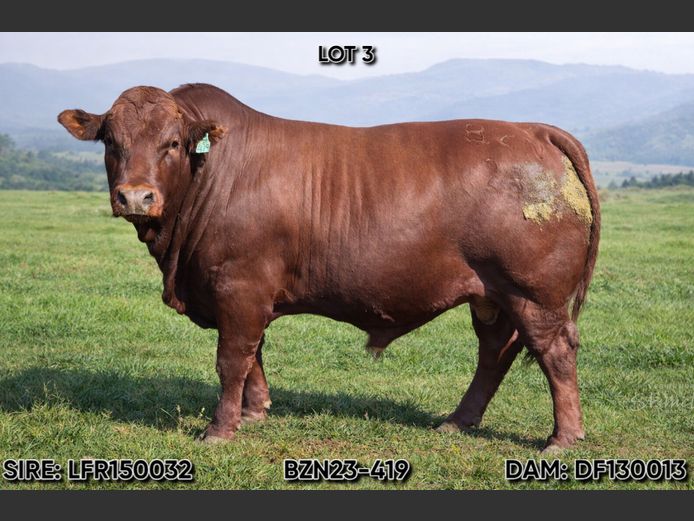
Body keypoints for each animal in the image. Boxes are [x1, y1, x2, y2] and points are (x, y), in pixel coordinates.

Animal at [58, 83, 600, 453]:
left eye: (172, 143)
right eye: (111, 142)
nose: (135, 197)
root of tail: (531, 129)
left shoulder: (238, 285)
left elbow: (231, 358)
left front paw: (220, 428)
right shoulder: (249, 293)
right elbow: (254, 354)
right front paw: (255, 412)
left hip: (535, 293)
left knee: (555, 352)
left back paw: (562, 438)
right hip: (491, 295)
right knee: (495, 352)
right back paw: (458, 421)